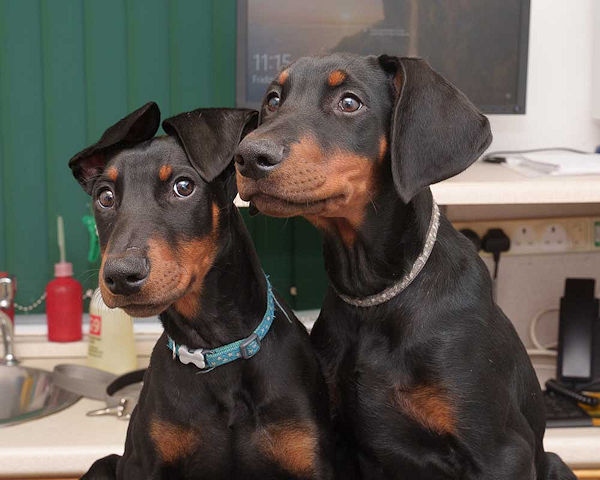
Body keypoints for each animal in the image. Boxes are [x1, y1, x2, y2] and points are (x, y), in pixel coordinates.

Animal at [71, 103, 336, 478]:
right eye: (104, 196)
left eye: (184, 186)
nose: (121, 276)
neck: (216, 348)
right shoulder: (143, 462)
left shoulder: (310, 458)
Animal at [236, 54, 576, 480]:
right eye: (273, 100)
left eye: (350, 103)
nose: (248, 157)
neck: (378, 295)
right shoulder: (345, 445)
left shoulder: (502, 451)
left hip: (553, 462)